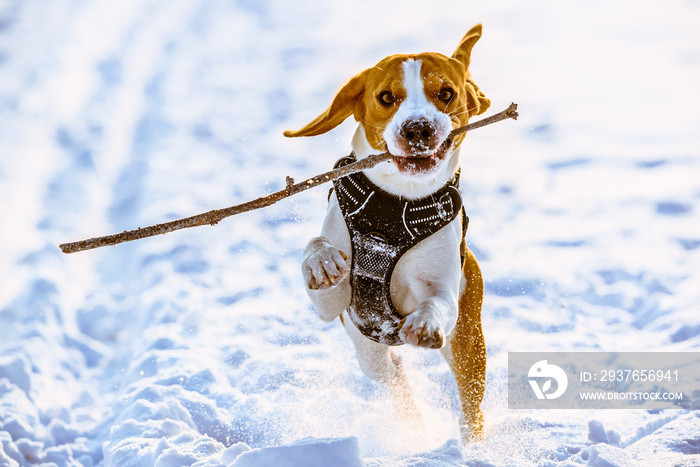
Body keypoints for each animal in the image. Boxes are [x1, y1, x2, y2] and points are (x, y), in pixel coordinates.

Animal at [288, 24, 490, 442]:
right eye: (386, 97)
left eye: (446, 93)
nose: (418, 129)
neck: (395, 207)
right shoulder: (332, 308)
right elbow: (315, 247)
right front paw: (321, 262)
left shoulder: (445, 291)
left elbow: (437, 303)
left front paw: (425, 321)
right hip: (370, 355)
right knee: (395, 379)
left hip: (469, 343)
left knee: (470, 404)